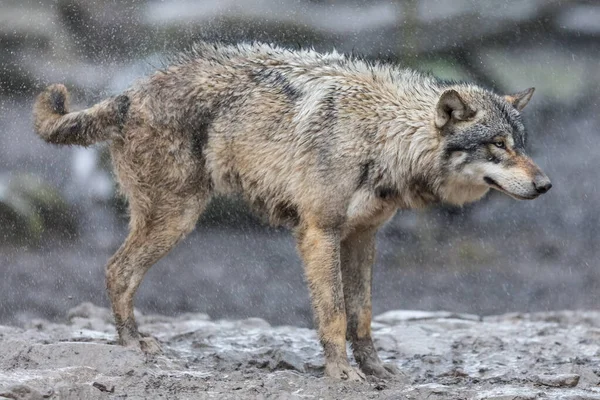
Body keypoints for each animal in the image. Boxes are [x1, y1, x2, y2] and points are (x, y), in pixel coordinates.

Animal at [31, 42, 548, 382]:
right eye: (497, 145)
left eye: (521, 145)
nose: (545, 185)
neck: (381, 137)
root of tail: (129, 92)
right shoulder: (320, 233)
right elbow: (334, 315)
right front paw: (342, 375)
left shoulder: (362, 237)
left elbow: (362, 316)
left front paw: (377, 371)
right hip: (177, 219)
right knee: (117, 270)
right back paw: (132, 346)